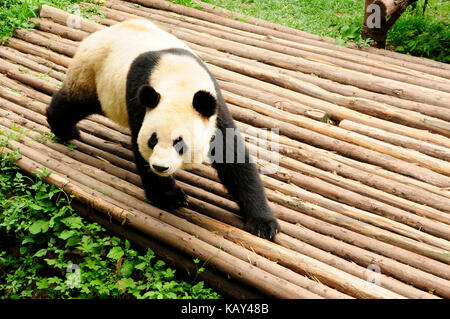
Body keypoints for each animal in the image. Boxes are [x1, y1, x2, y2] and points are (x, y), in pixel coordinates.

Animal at [44, 19, 278, 240]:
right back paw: (65, 130)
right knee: (73, 104)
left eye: (180, 143)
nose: (160, 167)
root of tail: (99, 33)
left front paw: (264, 224)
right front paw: (171, 197)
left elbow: (233, 158)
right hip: (93, 74)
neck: (180, 80)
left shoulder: (214, 107)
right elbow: (139, 148)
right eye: (153, 140)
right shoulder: (140, 99)